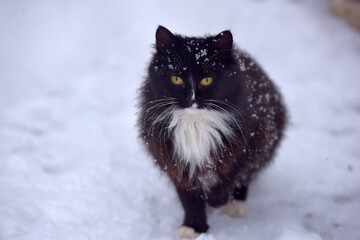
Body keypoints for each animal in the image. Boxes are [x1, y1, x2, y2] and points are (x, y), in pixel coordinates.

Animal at [137, 26, 286, 238]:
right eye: (176, 78)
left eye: (207, 80)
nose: (191, 99)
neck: (195, 123)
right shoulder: (174, 159)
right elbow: (188, 197)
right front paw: (193, 226)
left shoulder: (248, 144)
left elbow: (229, 177)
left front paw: (215, 200)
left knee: (245, 177)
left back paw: (235, 205)